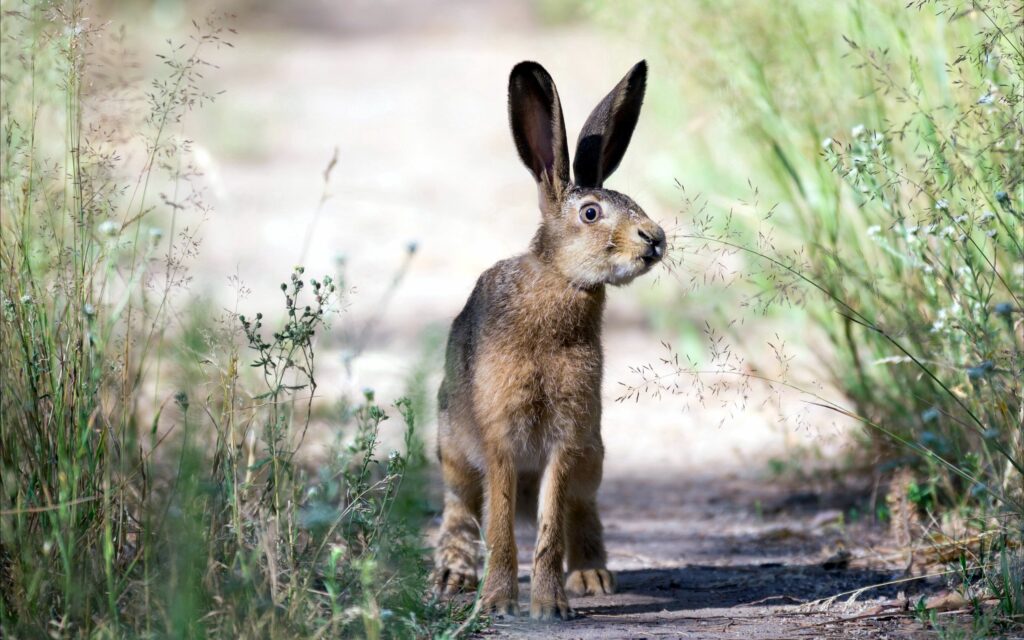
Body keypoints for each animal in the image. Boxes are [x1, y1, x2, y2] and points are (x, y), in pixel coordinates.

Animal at [432, 60, 664, 621]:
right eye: (591, 213)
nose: (656, 239)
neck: (561, 281)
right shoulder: (499, 436)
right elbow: (499, 526)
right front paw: (497, 601)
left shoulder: (566, 437)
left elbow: (549, 526)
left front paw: (551, 606)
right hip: (453, 448)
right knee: (460, 508)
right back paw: (453, 574)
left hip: (592, 454)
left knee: (582, 509)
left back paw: (592, 577)